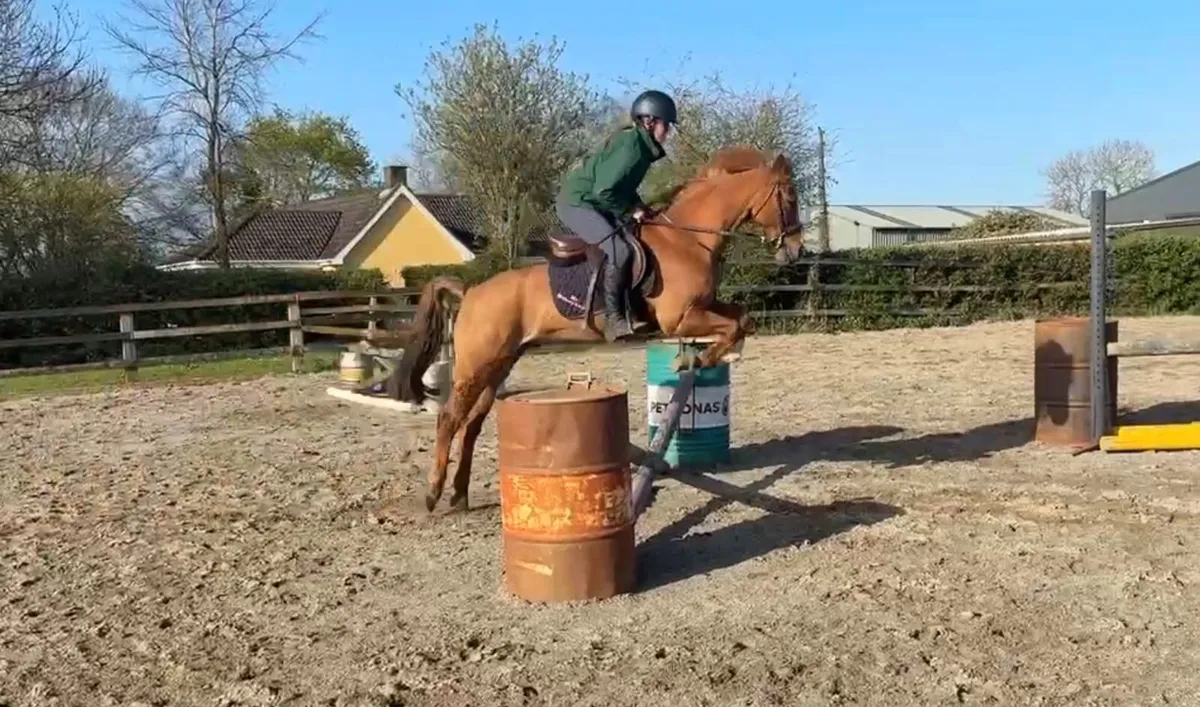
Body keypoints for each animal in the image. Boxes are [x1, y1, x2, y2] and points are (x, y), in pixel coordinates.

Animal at [391, 146, 805, 513]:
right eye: (789, 196)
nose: (796, 252)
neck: (688, 239)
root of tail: (472, 291)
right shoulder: (680, 318)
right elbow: (734, 324)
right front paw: (695, 360)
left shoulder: (703, 307)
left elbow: (743, 318)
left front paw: (706, 357)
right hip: (476, 365)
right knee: (450, 418)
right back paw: (433, 493)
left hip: (500, 363)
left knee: (473, 423)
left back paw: (460, 494)